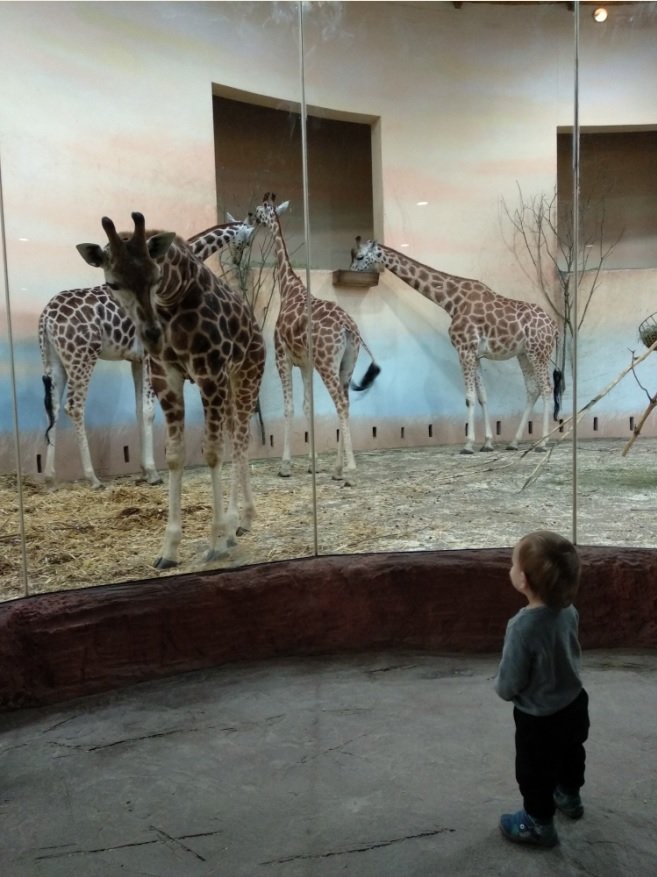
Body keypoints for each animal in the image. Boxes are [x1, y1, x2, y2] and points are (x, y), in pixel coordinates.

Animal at [40, 212, 256, 486]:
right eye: (246, 238)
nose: (238, 261)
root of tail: (46, 316)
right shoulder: (150, 358)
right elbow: (149, 411)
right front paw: (152, 472)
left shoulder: (136, 360)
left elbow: (138, 409)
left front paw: (145, 469)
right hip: (81, 357)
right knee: (74, 407)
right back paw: (93, 478)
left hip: (55, 360)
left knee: (53, 409)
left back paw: (49, 478)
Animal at [75, 213, 262, 568]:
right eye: (113, 283)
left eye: (156, 276)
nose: (151, 334)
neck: (173, 298)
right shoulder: (166, 377)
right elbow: (174, 455)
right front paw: (169, 549)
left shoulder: (210, 372)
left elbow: (212, 452)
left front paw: (215, 541)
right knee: (238, 438)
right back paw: (238, 523)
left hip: (246, 376)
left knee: (241, 441)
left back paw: (238, 521)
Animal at [254, 192, 382, 482]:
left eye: (259, 209)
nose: (250, 218)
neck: (288, 287)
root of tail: (349, 328)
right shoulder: (305, 364)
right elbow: (307, 407)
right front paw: (312, 464)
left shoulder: (282, 357)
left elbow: (290, 407)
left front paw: (285, 466)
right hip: (346, 363)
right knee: (346, 401)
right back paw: (337, 469)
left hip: (327, 363)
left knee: (340, 403)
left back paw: (349, 468)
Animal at [348, 240, 560, 458]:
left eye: (360, 256)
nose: (352, 271)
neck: (450, 301)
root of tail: (554, 327)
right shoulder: (476, 354)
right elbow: (483, 397)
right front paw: (488, 443)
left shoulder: (464, 349)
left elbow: (469, 397)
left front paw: (468, 445)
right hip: (524, 354)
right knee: (533, 389)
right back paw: (515, 442)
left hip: (539, 352)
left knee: (546, 388)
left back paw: (543, 443)